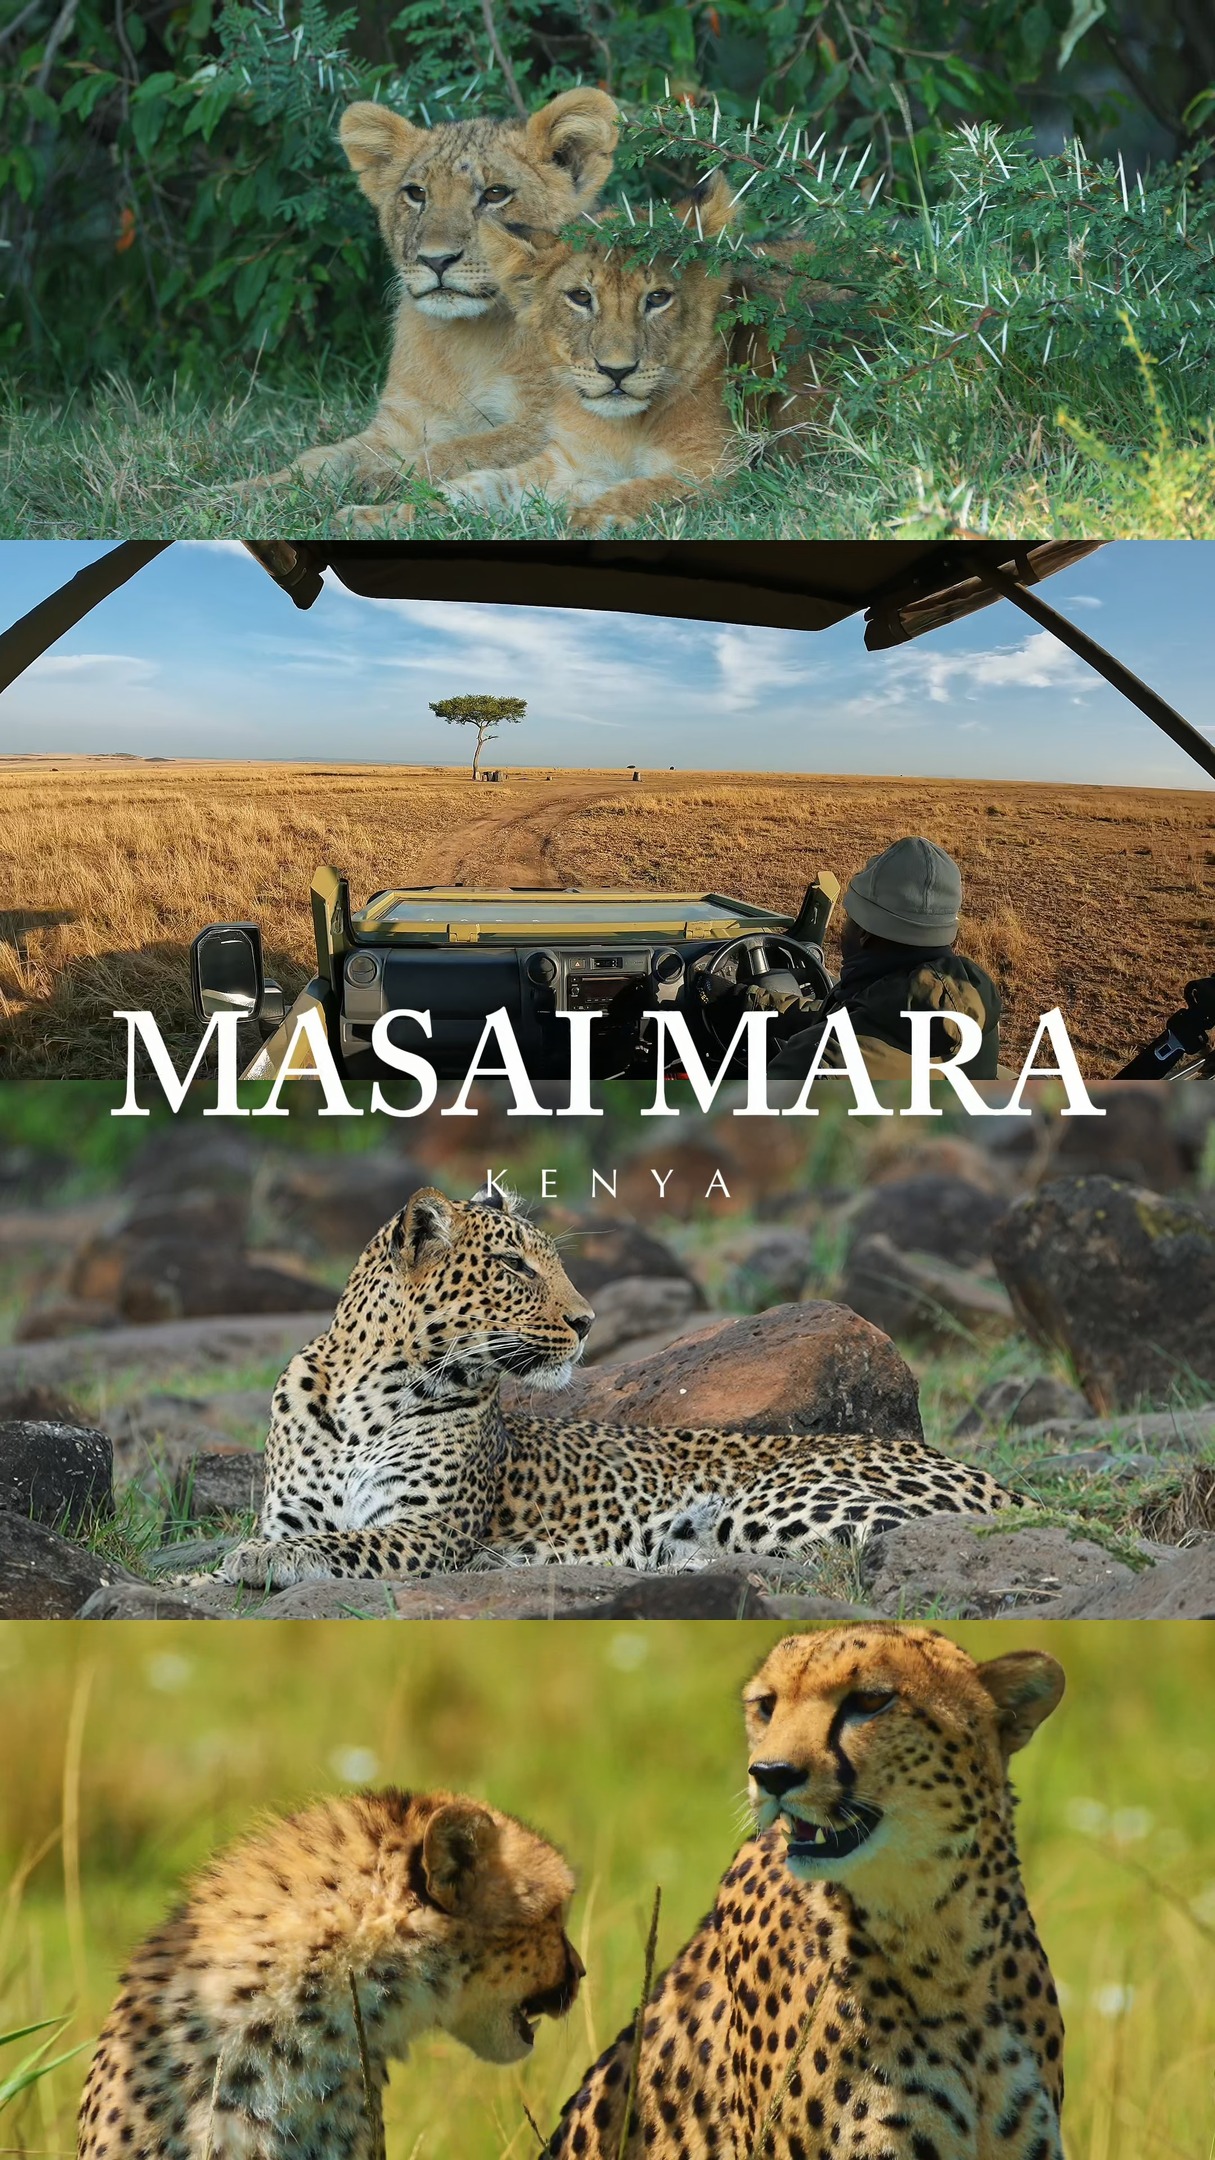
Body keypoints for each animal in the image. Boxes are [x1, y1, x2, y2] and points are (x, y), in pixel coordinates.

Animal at [241, 89, 618, 499]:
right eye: (416, 193)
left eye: (495, 194)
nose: (435, 260)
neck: (469, 340)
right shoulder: (404, 419)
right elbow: (319, 458)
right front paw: (239, 490)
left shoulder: (551, 422)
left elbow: (459, 451)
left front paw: (373, 479)